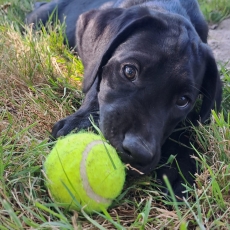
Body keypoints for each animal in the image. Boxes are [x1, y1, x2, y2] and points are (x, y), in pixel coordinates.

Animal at [26, 0, 221, 198]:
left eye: (182, 100)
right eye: (129, 71)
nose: (137, 152)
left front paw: (182, 165)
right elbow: (95, 86)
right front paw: (80, 123)